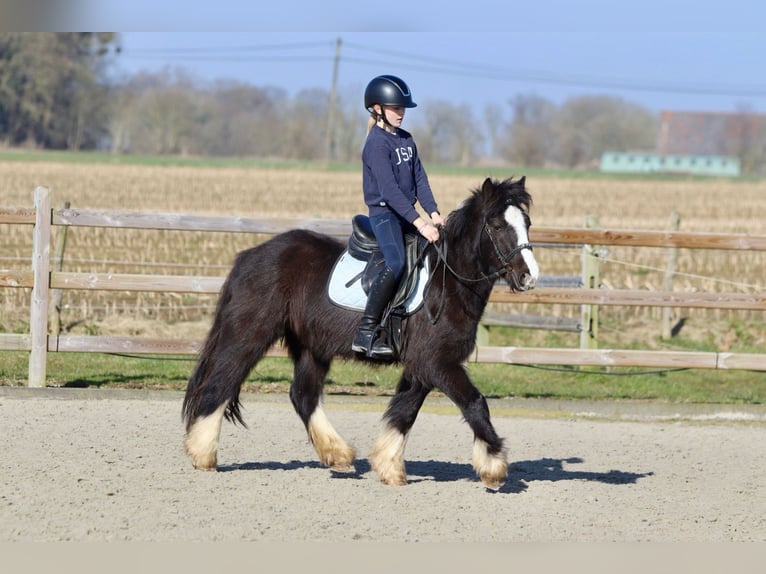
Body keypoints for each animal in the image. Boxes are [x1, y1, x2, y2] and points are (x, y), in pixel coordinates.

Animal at [182, 177, 540, 490]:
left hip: (311, 347)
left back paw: (338, 454)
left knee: (303, 396)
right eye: (497, 226)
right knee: (220, 384)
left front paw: (389, 466)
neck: (448, 282)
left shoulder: (422, 365)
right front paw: (494, 468)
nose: (529, 277)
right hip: (249, 335)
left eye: (527, 223)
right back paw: (203, 455)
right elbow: (475, 403)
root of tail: (248, 257)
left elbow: (403, 412)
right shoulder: (437, 361)